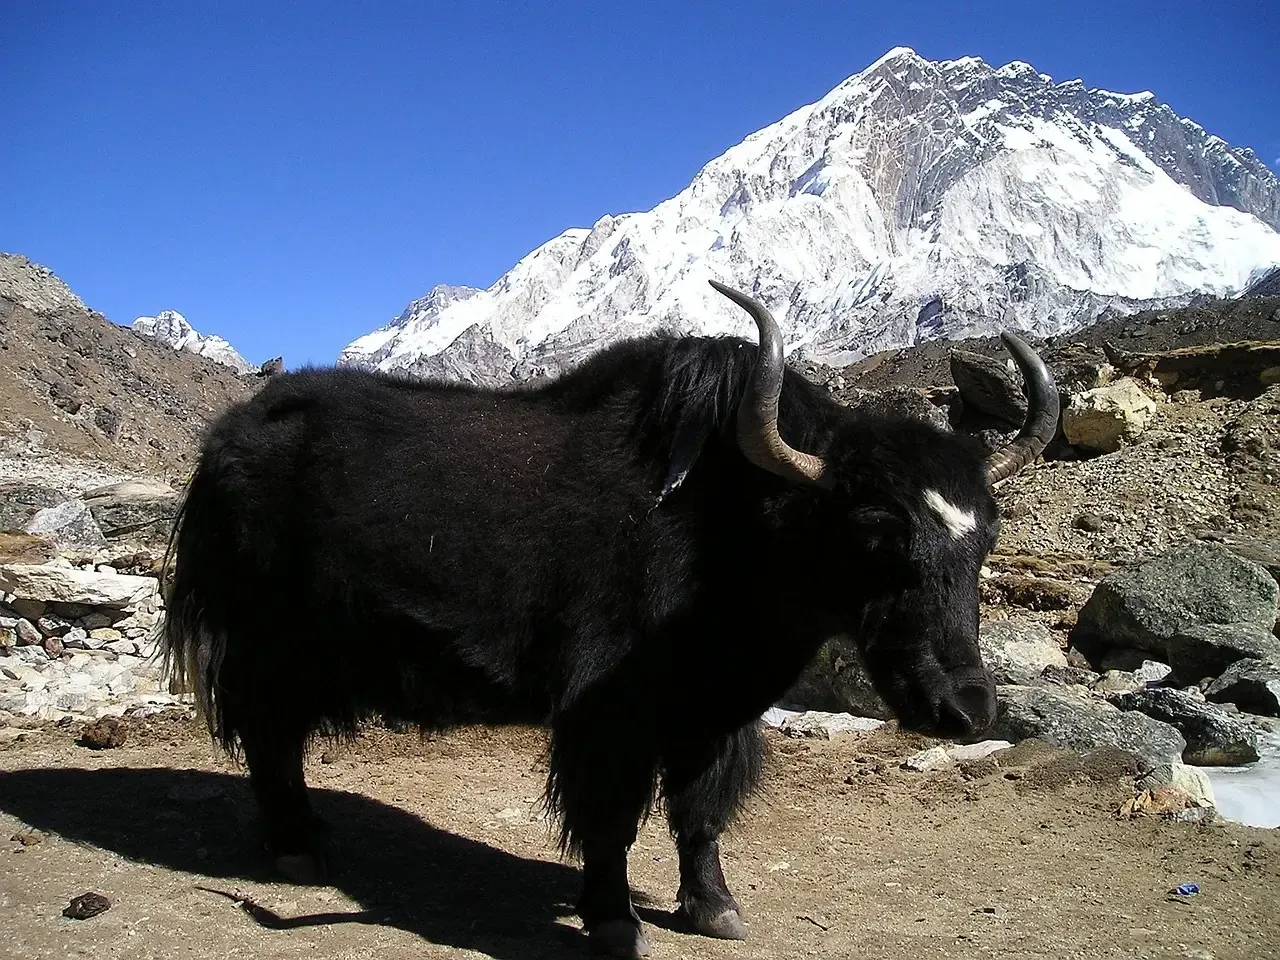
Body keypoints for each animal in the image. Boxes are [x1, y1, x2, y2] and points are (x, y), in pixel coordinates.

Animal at [163, 280, 1059, 958]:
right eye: (874, 530)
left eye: (987, 536)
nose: (964, 707)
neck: (737, 530)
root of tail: (222, 442)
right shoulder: (610, 713)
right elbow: (612, 817)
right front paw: (614, 920)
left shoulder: (715, 710)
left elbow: (699, 813)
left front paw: (715, 910)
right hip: (268, 641)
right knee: (270, 736)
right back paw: (296, 846)